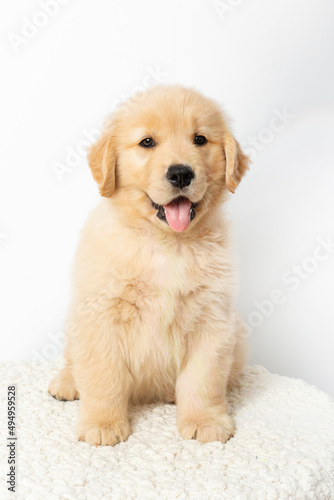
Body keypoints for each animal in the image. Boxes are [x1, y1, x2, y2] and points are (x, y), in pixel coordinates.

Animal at [48, 85, 249, 446]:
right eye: (146, 142)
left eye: (200, 139)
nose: (181, 173)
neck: (166, 243)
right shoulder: (100, 314)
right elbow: (102, 375)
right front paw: (102, 423)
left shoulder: (213, 319)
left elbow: (204, 378)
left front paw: (205, 421)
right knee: (75, 360)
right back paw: (67, 382)